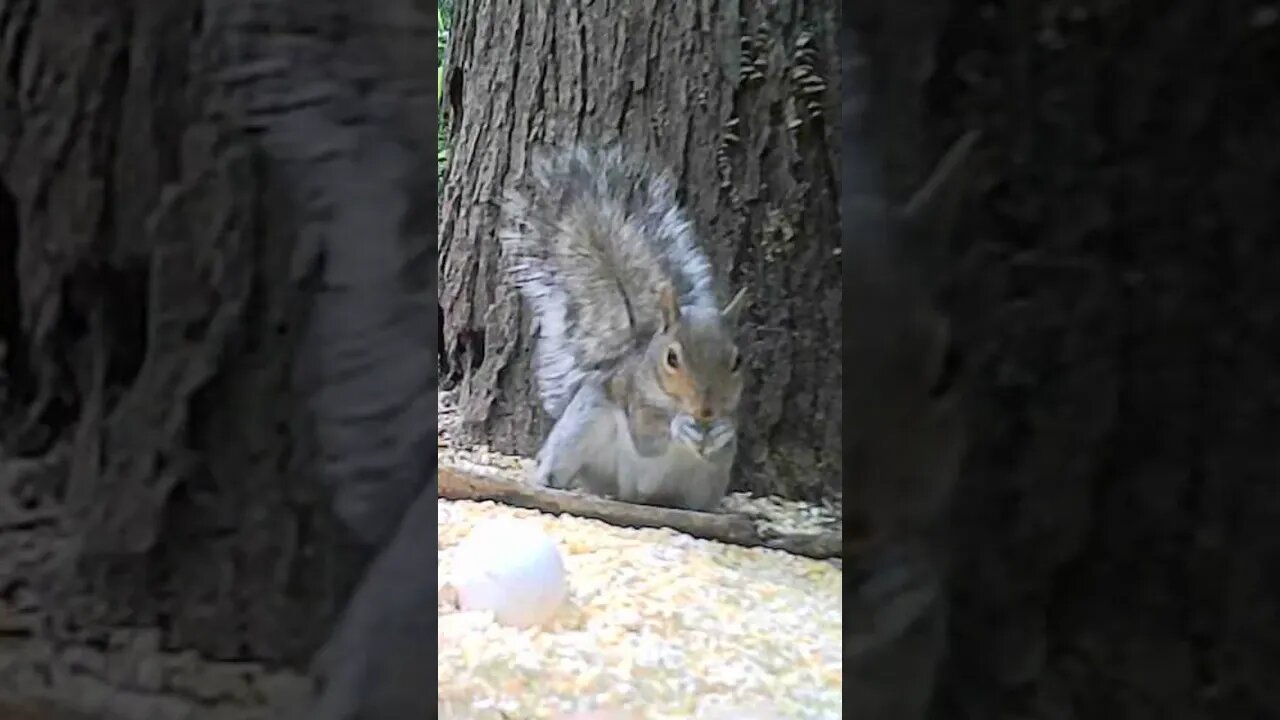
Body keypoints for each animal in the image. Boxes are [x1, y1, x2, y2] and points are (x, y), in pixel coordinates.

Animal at [494, 142, 747, 509]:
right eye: (672, 358)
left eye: (736, 361)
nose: (706, 409)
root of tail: (636, 495)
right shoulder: (633, 397)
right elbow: (648, 435)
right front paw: (680, 425)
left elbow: (728, 435)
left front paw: (723, 431)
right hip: (586, 421)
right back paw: (549, 480)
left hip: (705, 483)